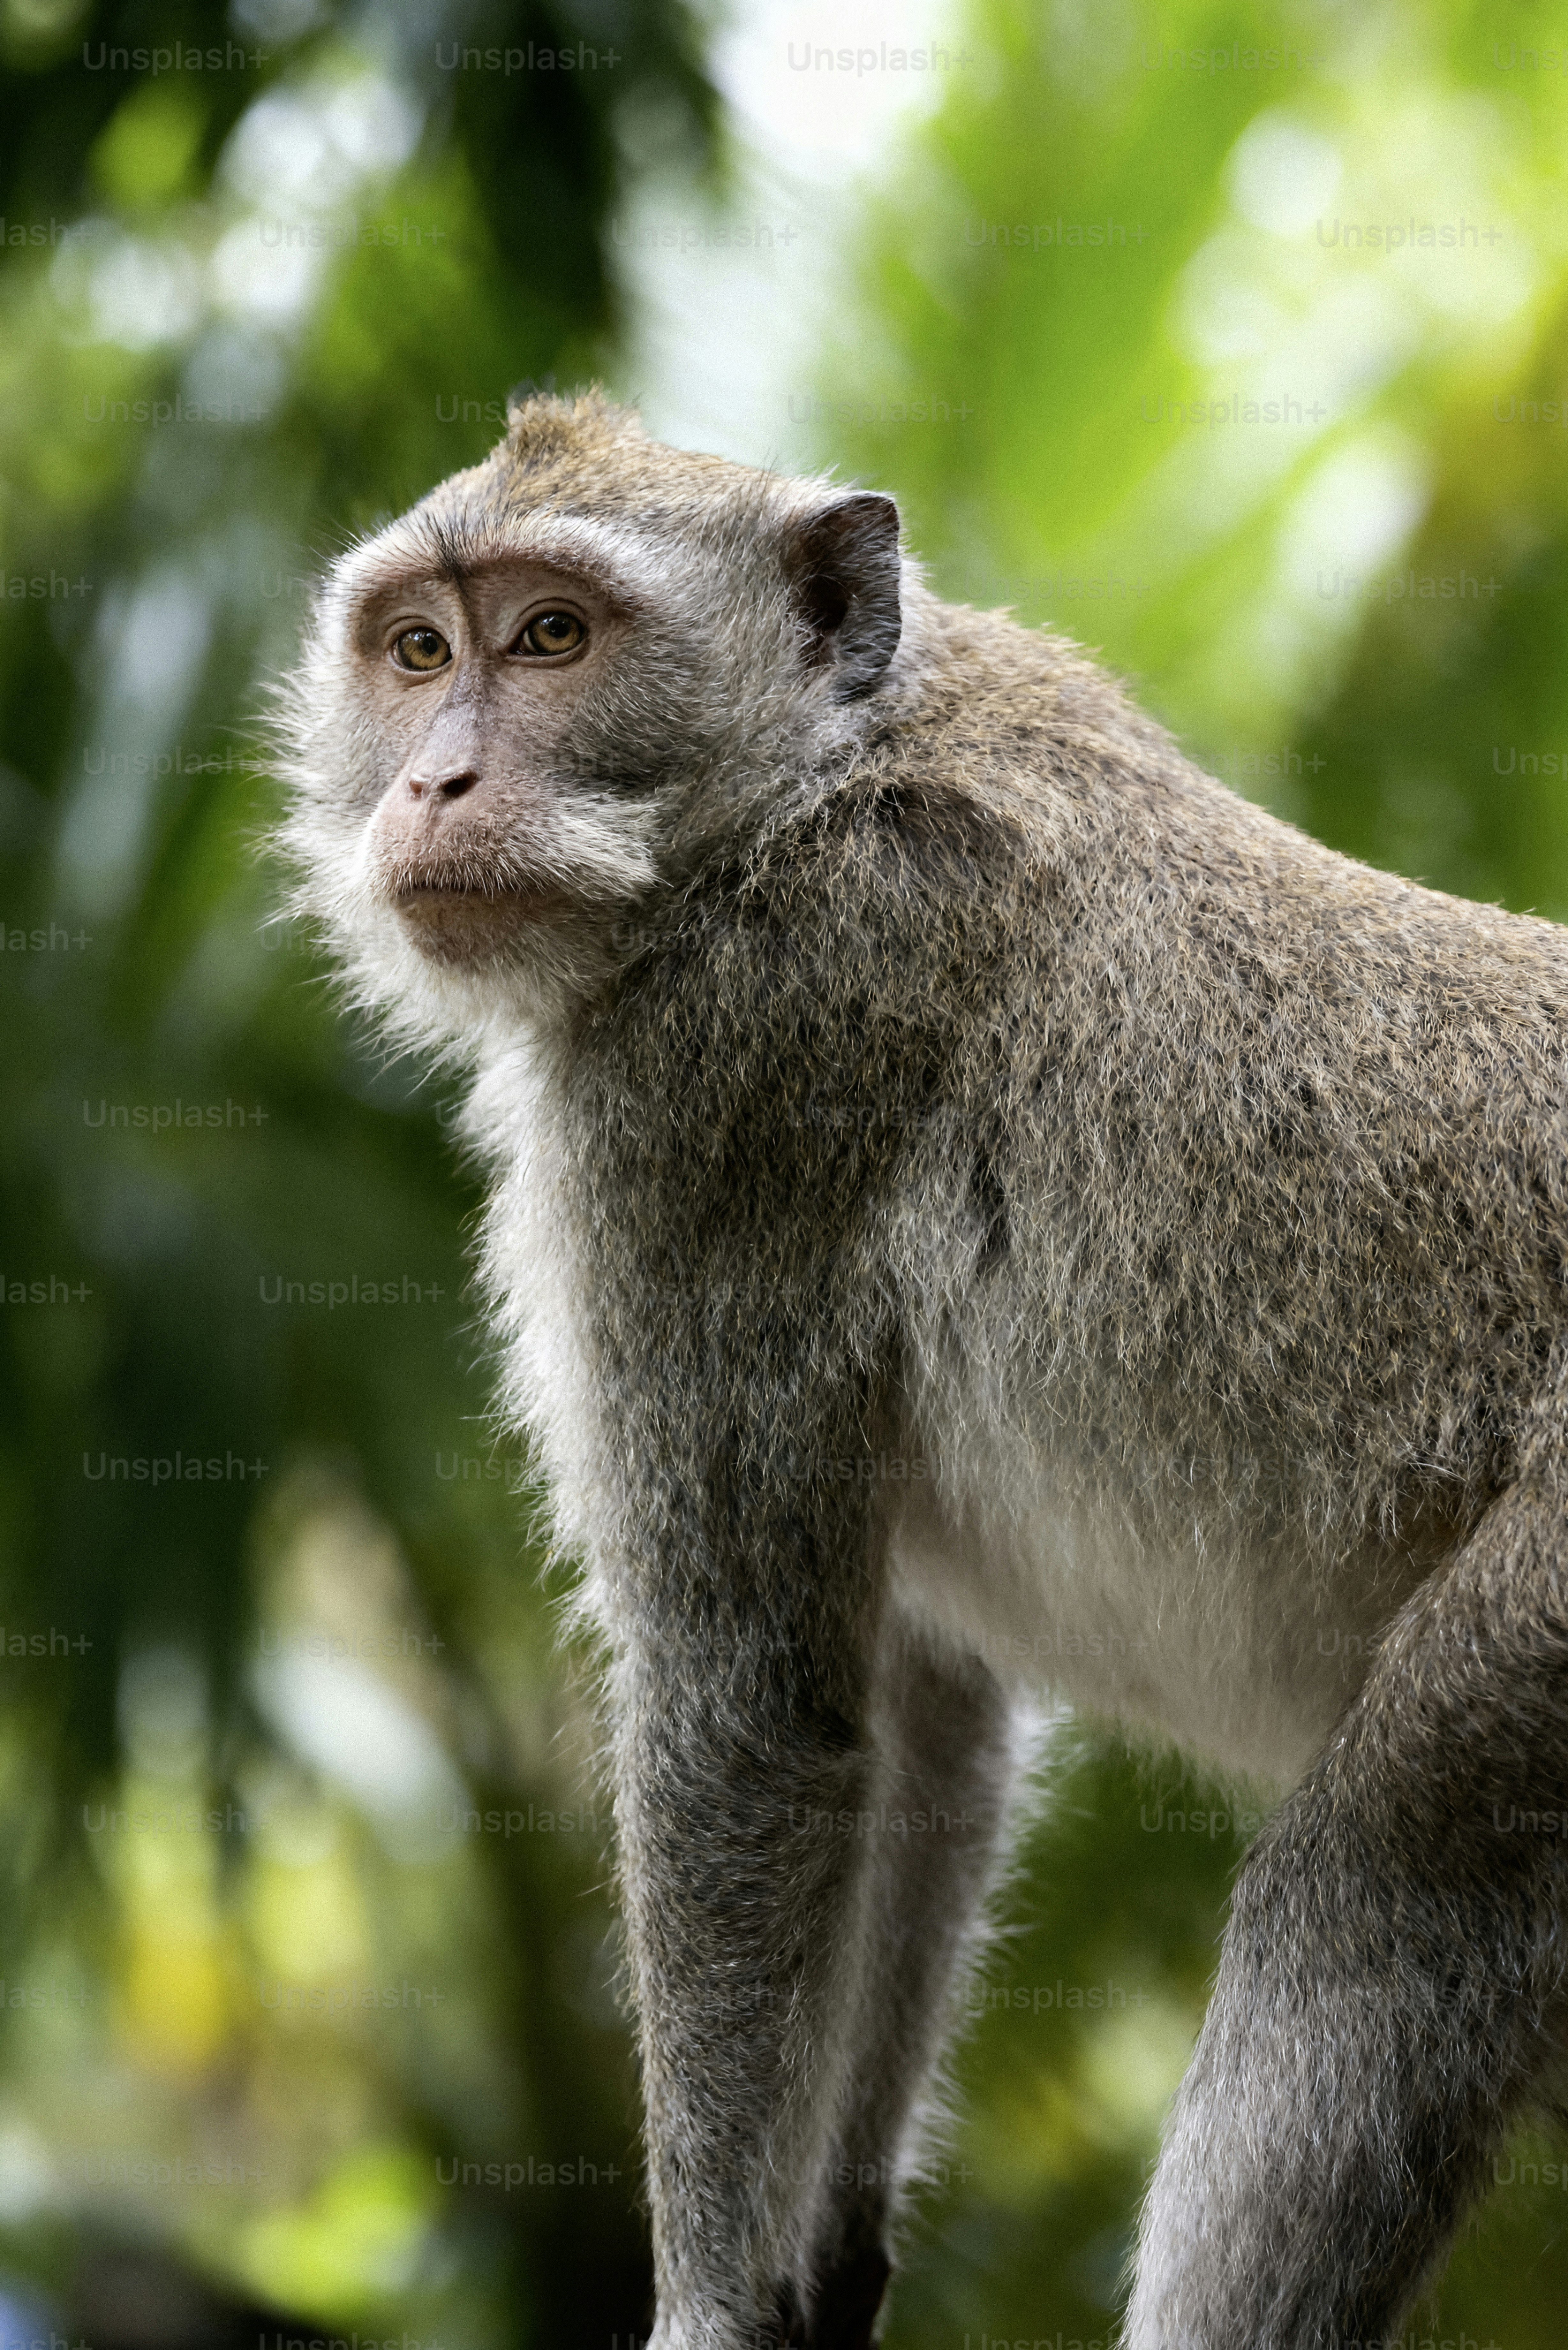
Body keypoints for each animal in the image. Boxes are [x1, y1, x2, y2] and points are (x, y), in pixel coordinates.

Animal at [279, 387, 1568, 2350]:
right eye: (418, 650)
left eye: (553, 635)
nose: (431, 783)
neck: (799, 783)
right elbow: (914, 1703)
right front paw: (824, 2251)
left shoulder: (723, 1082)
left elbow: (757, 1715)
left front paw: (705, 2307)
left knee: (1382, 1881)